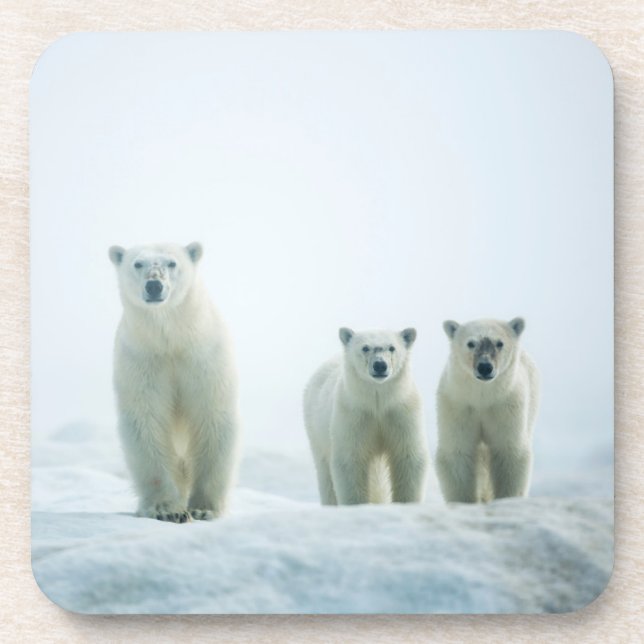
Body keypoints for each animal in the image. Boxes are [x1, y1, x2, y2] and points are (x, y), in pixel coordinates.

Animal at [108, 241, 240, 522]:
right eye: (137, 263)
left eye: (172, 263)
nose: (154, 285)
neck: (172, 340)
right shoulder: (142, 360)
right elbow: (146, 422)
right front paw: (167, 510)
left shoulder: (203, 357)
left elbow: (212, 417)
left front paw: (203, 508)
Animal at [303, 327, 429, 506]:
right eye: (365, 348)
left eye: (392, 347)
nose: (380, 365)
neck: (377, 402)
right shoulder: (354, 415)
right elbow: (350, 460)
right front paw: (356, 505)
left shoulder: (401, 412)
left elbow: (407, 457)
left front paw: (406, 503)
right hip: (316, 429)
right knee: (324, 471)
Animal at [435, 317, 540, 503]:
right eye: (471, 343)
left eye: (500, 343)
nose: (485, 367)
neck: (482, 398)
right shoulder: (458, 405)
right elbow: (458, 452)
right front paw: (465, 501)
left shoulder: (506, 406)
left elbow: (508, 452)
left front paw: (507, 499)